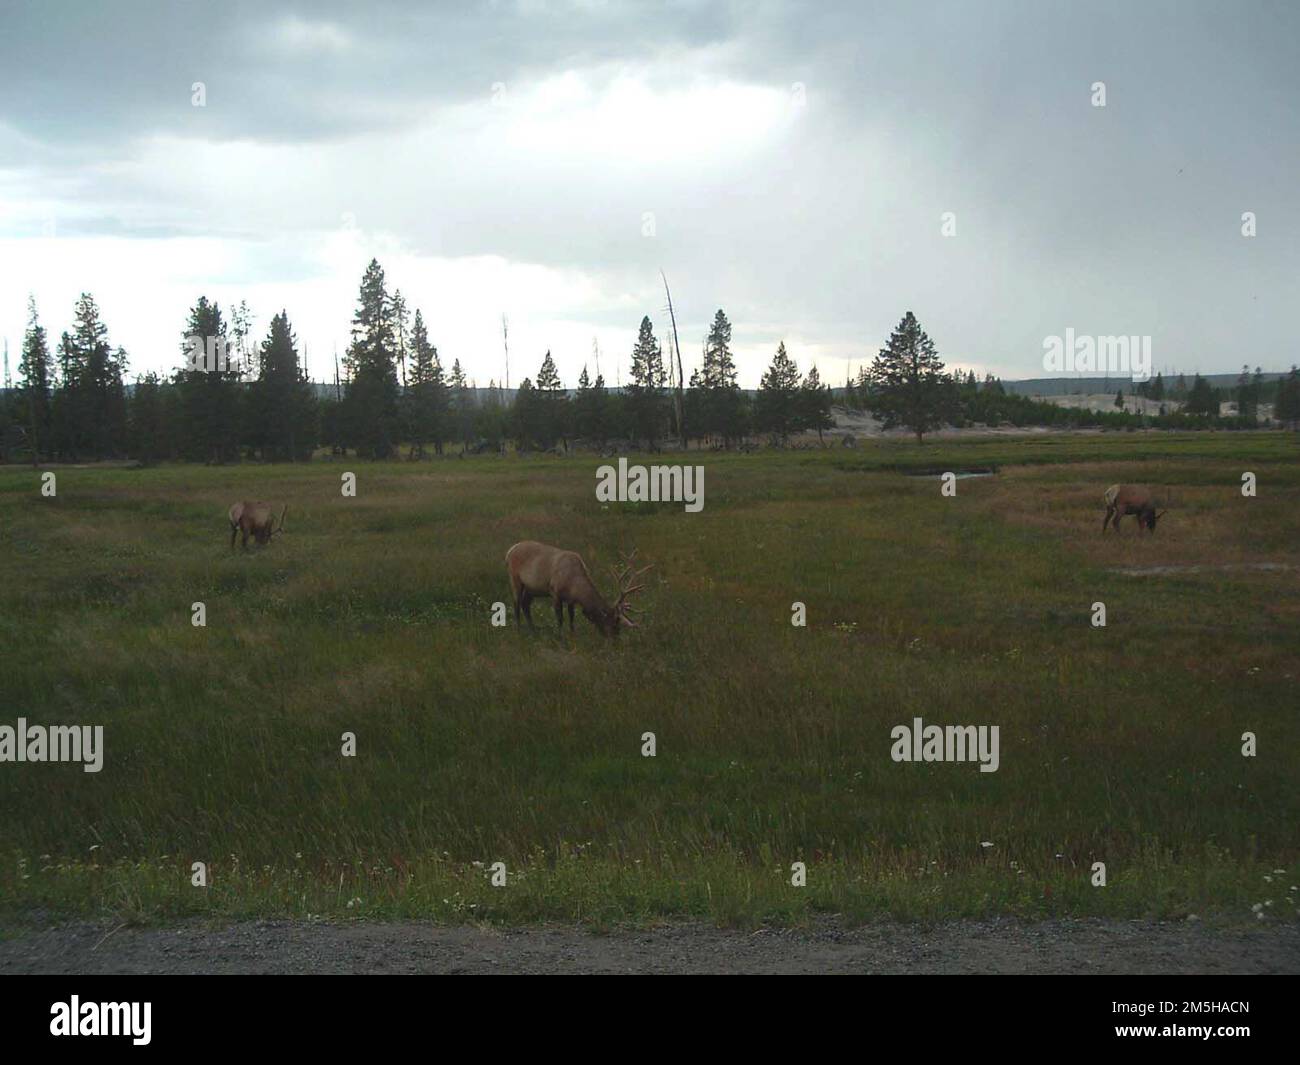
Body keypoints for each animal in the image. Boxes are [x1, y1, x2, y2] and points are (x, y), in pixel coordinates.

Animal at [504, 540, 650, 631]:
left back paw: (533, 630)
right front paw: (560, 637)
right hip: (514, 579)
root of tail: (510, 550)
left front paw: (572, 635)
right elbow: (560, 618)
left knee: (525, 604)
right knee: (516, 604)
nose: (615, 641)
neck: (574, 585)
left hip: (532, 589)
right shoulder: (554, 592)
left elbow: (571, 618)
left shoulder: (571, 600)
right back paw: (519, 631)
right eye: (614, 624)